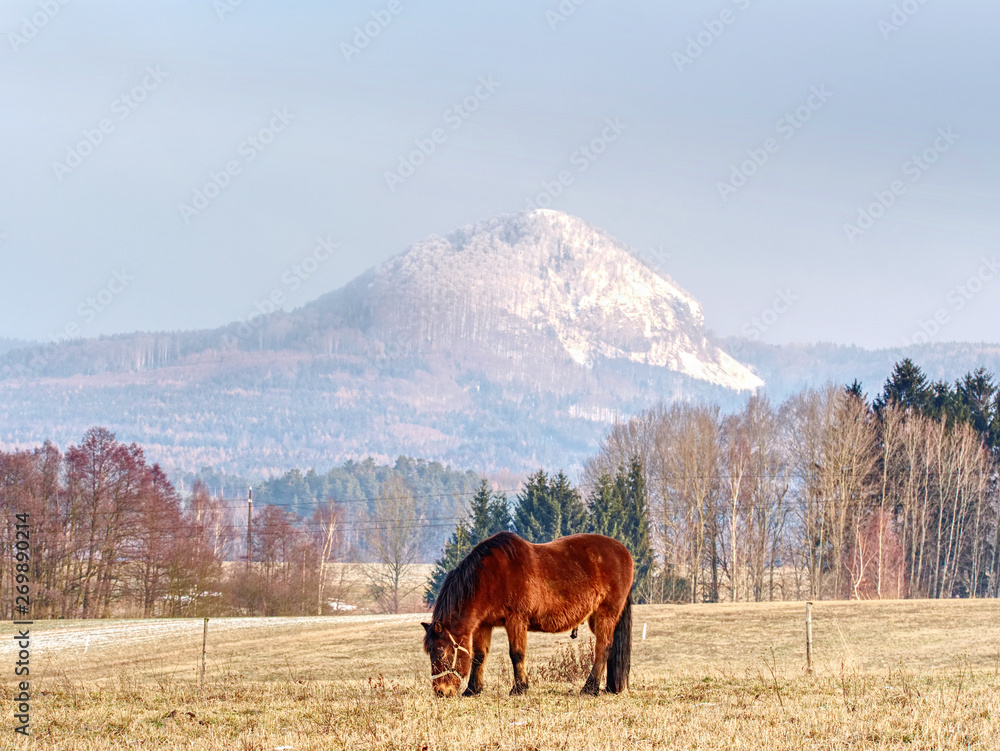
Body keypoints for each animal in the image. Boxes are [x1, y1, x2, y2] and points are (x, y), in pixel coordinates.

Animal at [422, 528, 632, 700]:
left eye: (440, 654)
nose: (441, 691)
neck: (491, 578)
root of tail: (623, 552)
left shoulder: (516, 620)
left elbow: (516, 654)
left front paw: (519, 688)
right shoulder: (484, 624)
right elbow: (479, 656)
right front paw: (473, 689)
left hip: (605, 615)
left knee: (602, 648)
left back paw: (590, 688)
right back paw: (608, 687)